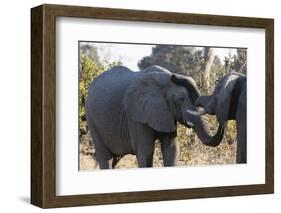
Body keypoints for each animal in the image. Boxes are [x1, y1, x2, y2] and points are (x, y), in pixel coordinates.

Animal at [84, 65, 215, 168]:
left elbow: (171, 149)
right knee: (105, 157)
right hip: (91, 118)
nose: (176, 76)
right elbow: (146, 151)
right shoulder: (135, 115)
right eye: (181, 99)